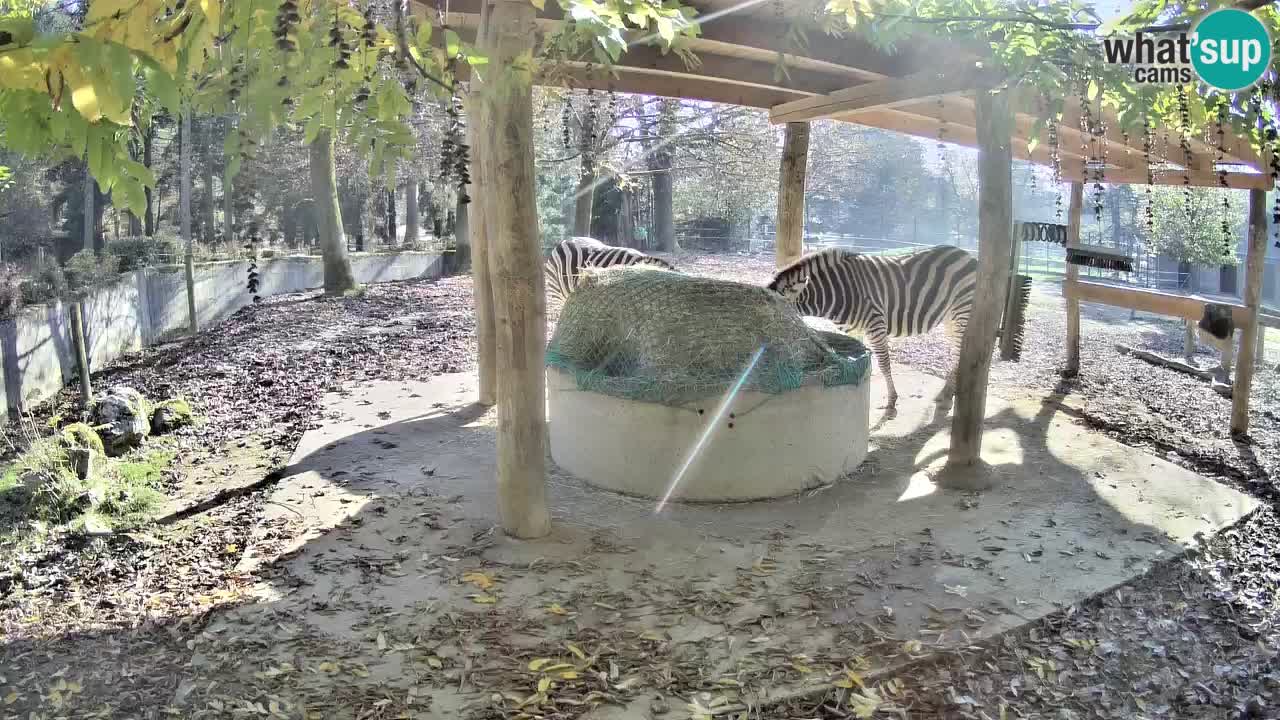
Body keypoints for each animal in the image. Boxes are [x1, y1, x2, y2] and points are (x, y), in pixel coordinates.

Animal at [762, 243, 972, 409]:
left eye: (777, 317)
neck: (837, 291)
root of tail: (968, 255)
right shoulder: (856, 330)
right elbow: (858, 355)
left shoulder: (875, 324)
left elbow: (884, 363)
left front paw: (892, 399)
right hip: (950, 319)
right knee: (956, 353)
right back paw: (947, 392)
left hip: (962, 313)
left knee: (959, 353)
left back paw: (947, 395)